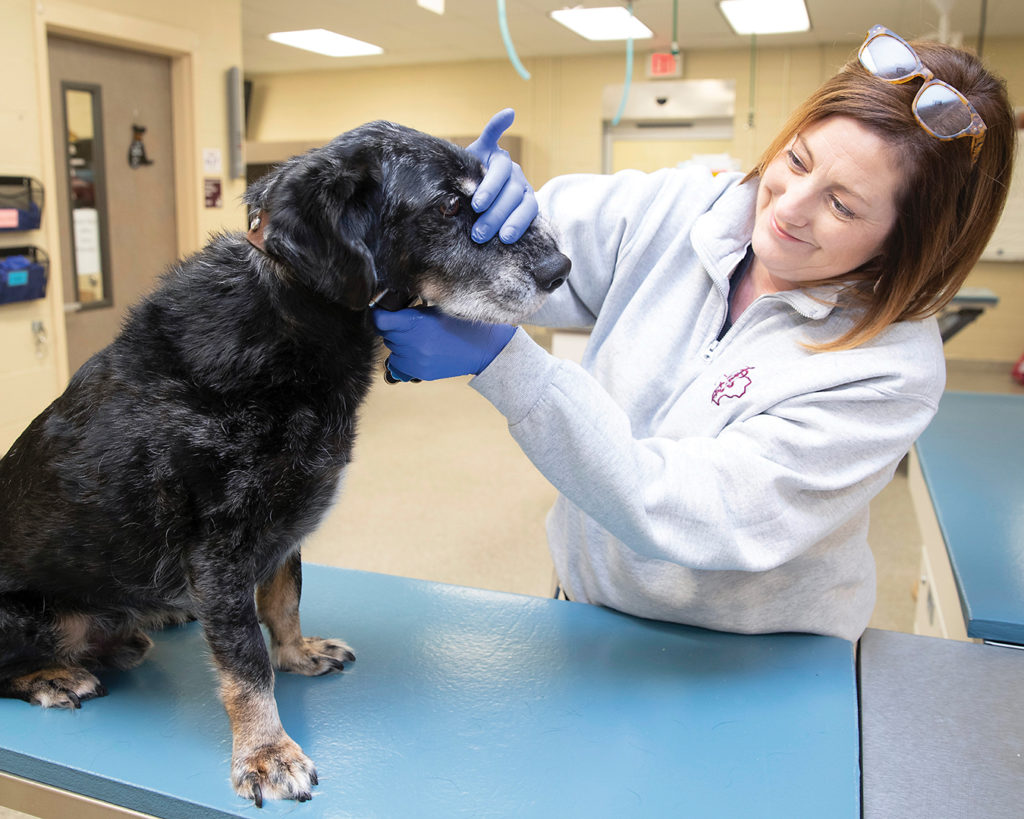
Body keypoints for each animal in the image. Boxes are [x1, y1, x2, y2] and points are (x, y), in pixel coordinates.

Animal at [0, 123, 569, 806]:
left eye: (485, 192)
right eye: (447, 206)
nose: (562, 268)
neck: (294, 312)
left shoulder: (283, 527)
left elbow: (283, 597)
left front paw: (296, 653)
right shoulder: (218, 550)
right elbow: (246, 658)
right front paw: (266, 751)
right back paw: (52, 676)